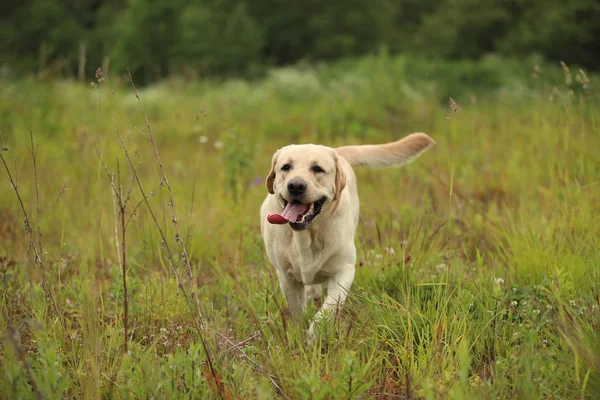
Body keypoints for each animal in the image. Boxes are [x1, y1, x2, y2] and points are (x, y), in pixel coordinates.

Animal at [260, 134, 434, 340]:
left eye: (317, 169)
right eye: (286, 167)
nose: (295, 185)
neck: (306, 235)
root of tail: (337, 151)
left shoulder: (344, 271)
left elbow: (330, 307)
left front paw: (314, 334)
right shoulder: (286, 277)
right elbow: (297, 312)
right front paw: (299, 334)